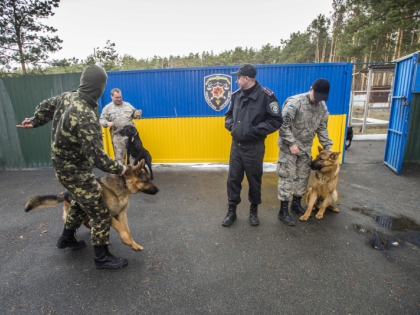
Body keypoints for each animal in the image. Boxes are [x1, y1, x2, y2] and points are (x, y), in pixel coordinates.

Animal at [25, 160, 159, 252]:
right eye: (147, 180)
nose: (158, 190)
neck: (123, 183)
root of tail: (66, 192)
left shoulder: (121, 214)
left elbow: (127, 230)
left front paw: (134, 244)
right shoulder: (108, 215)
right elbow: (122, 230)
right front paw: (127, 241)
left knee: (86, 223)